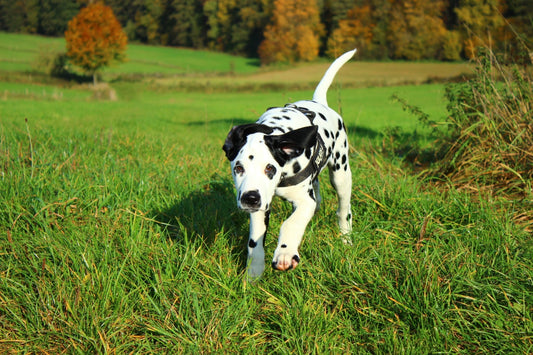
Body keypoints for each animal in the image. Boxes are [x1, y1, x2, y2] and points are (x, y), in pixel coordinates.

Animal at [222, 48, 356, 280]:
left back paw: (345, 238)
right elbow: (255, 241)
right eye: (238, 168)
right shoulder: (261, 205)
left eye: (270, 168)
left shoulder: (303, 201)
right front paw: (254, 273)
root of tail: (319, 102)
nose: (250, 199)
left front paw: (284, 253)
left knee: (343, 209)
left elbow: (291, 223)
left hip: (341, 173)